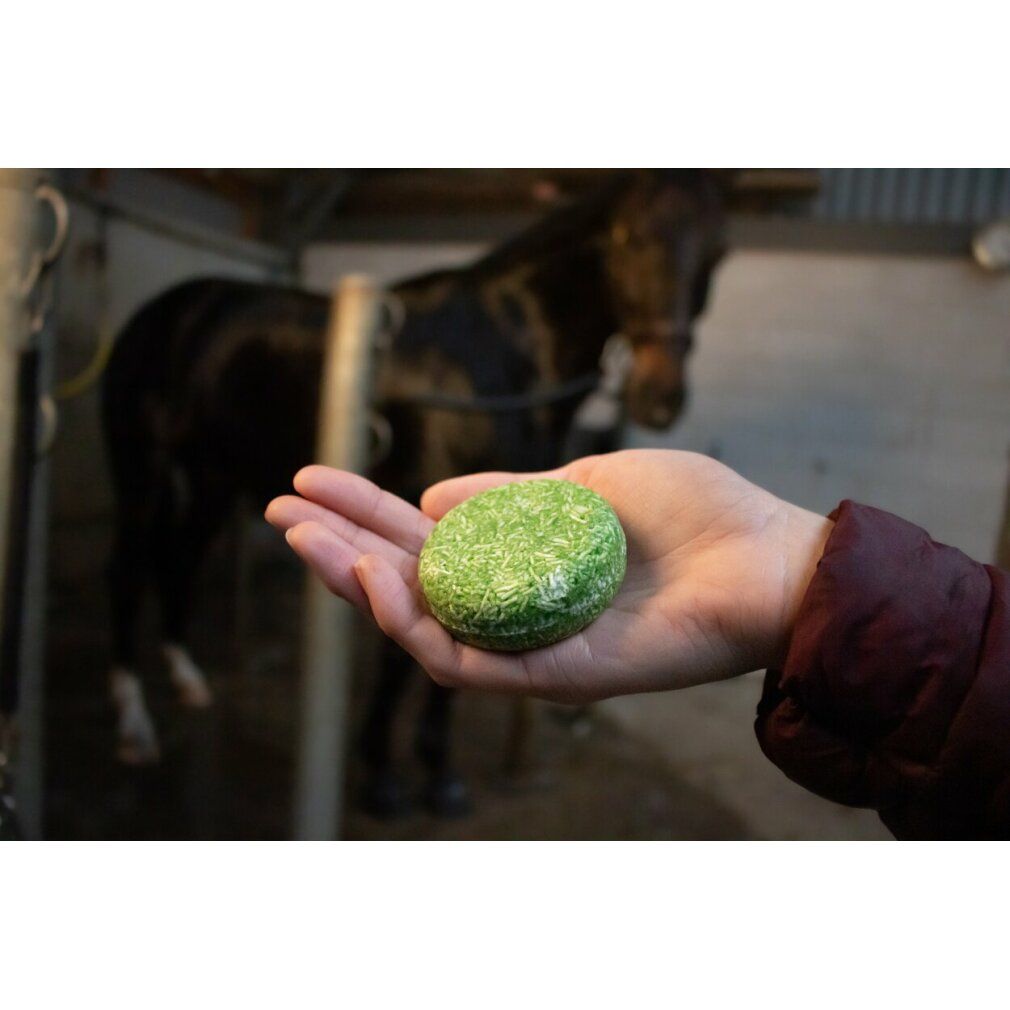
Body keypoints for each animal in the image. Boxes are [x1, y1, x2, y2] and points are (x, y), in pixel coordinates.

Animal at [100, 168, 730, 818]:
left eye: (719, 251)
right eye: (628, 237)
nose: (660, 399)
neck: (502, 357)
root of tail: (168, 306)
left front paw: (440, 772)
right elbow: (399, 660)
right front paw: (381, 772)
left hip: (214, 475)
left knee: (179, 557)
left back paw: (185, 675)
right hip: (140, 464)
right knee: (128, 570)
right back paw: (134, 723)